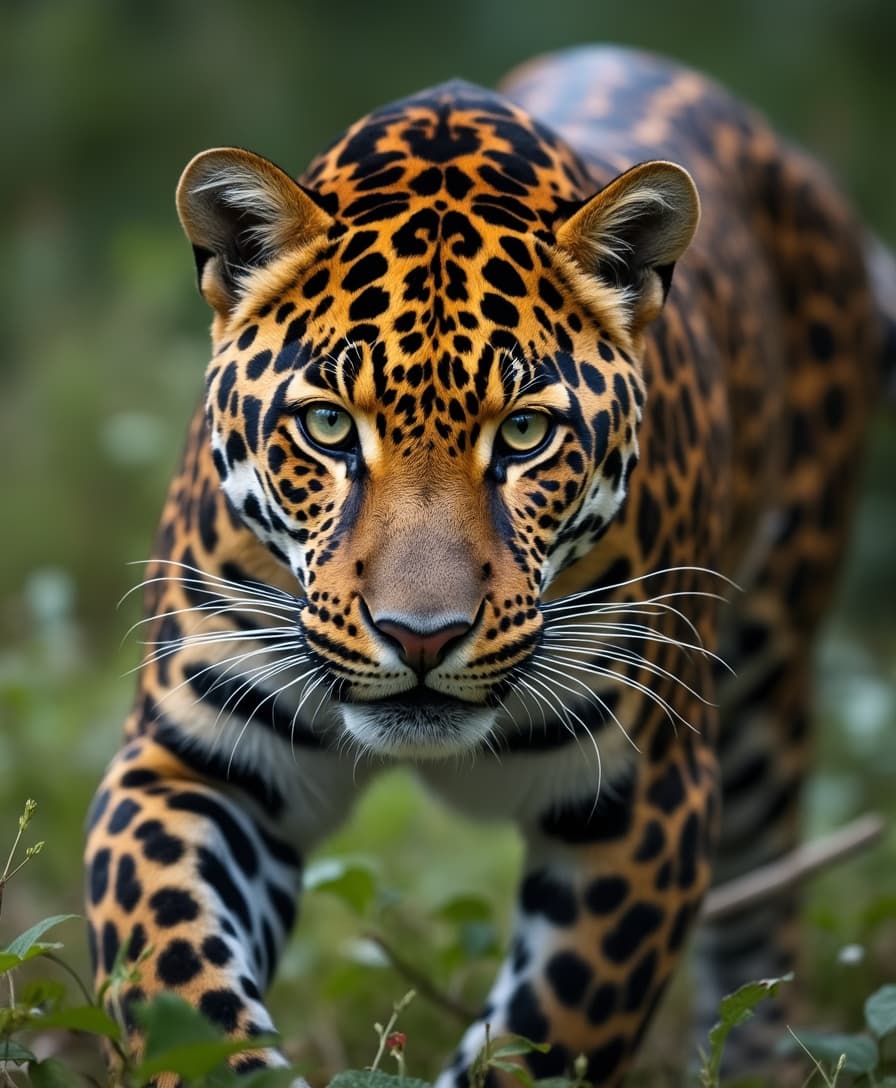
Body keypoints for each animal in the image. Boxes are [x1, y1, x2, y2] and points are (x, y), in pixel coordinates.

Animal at [84, 44, 895, 1086]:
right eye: (328, 426)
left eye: (522, 435)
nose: (420, 638)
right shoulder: (192, 764)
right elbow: (172, 976)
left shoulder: (647, 799)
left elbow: (552, 1028)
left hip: (767, 681)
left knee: (765, 913)